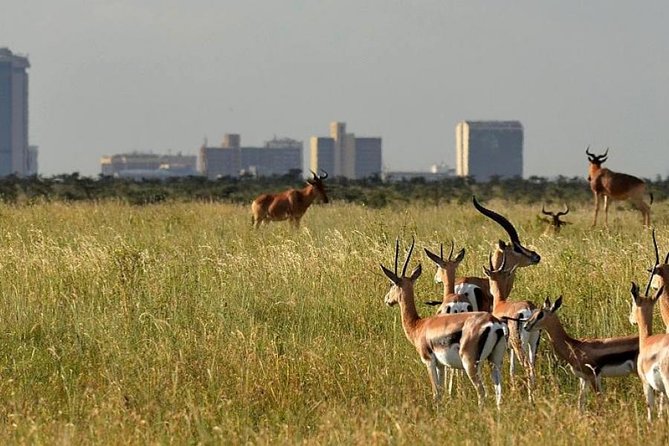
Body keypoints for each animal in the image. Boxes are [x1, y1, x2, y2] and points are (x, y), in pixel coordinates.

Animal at [380, 239, 506, 406]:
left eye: (392, 284)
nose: (387, 299)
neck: (420, 325)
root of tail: (492, 323)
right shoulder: (441, 365)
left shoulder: (429, 361)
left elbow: (436, 393)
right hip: (495, 361)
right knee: (499, 392)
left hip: (470, 363)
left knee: (482, 392)